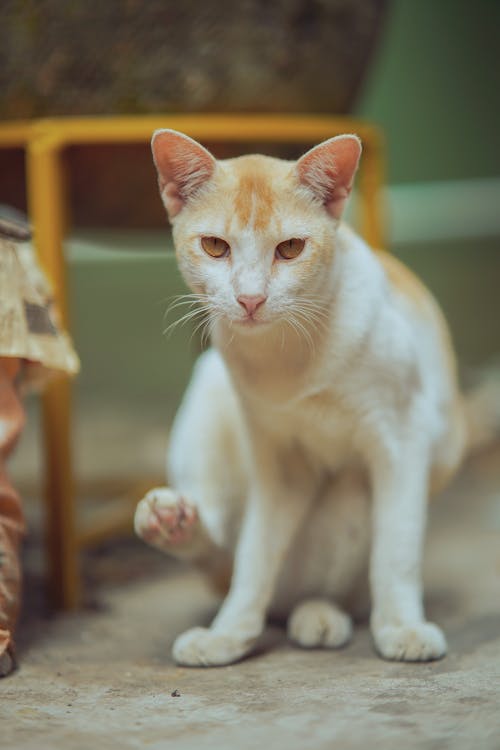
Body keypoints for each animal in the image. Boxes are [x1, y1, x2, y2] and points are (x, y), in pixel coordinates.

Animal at [134, 129, 496, 668]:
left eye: (290, 248)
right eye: (215, 247)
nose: (250, 299)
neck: (287, 358)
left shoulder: (403, 438)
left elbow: (397, 548)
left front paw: (402, 627)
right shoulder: (278, 463)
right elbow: (255, 553)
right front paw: (229, 633)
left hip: (357, 487)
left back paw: (321, 613)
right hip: (209, 387)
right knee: (225, 554)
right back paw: (173, 525)